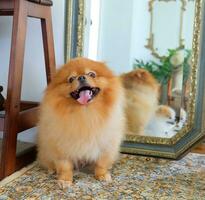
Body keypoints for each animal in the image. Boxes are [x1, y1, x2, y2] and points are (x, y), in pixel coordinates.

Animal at [36, 57, 125, 188]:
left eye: (92, 74)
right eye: (71, 79)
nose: (81, 77)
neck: (85, 113)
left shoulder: (106, 143)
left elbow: (101, 163)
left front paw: (102, 175)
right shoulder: (61, 145)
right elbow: (65, 166)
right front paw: (65, 180)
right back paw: (51, 169)